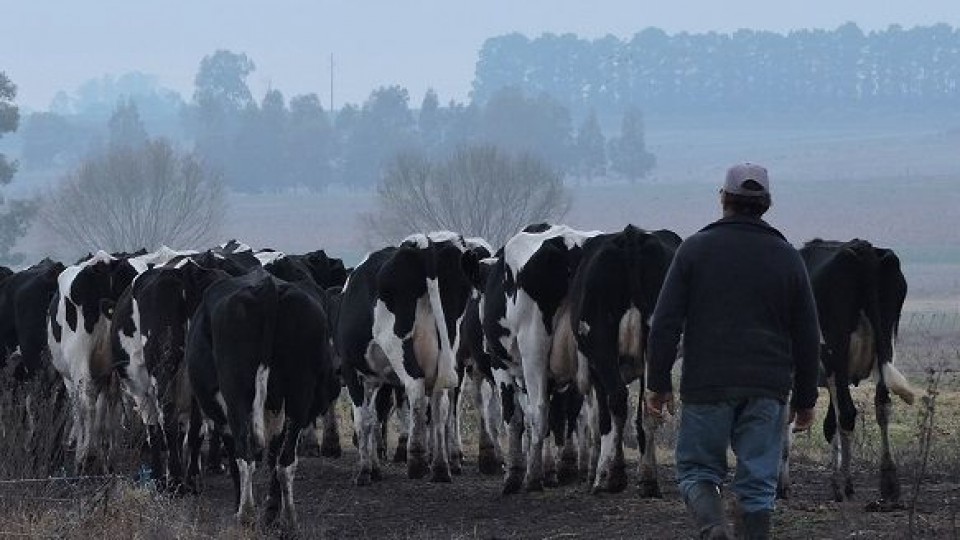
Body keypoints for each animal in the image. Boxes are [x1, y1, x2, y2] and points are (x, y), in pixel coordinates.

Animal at [186, 268, 340, 524]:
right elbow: (274, 455)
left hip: (236, 394)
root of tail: (268, 286)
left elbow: (236, 457)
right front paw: (271, 508)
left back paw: (246, 514)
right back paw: (287, 518)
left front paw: (239, 505)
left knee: (245, 455)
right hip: (299, 391)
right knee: (285, 461)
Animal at [336, 232, 474, 486]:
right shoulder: (375, 378)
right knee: (440, 405)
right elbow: (374, 418)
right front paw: (374, 468)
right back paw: (440, 468)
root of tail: (423, 245)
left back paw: (417, 459)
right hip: (448, 345)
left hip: (397, 345)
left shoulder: (353, 370)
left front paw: (364, 471)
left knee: (416, 389)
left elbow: (363, 419)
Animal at [568, 226, 684, 496]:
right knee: (650, 407)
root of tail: (632, 236)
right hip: (654, 344)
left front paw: (614, 473)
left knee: (617, 400)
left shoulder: (596, 369)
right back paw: (648, 479)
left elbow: (605, 418)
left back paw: (602, 477)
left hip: (601, 344)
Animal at [792, 239, 920, 506]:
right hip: (885, 345)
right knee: (882, 406)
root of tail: (864, 248)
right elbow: (830, 424)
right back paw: (889, 484)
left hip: (836, 350)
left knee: (848, 414)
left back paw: (846, 485)